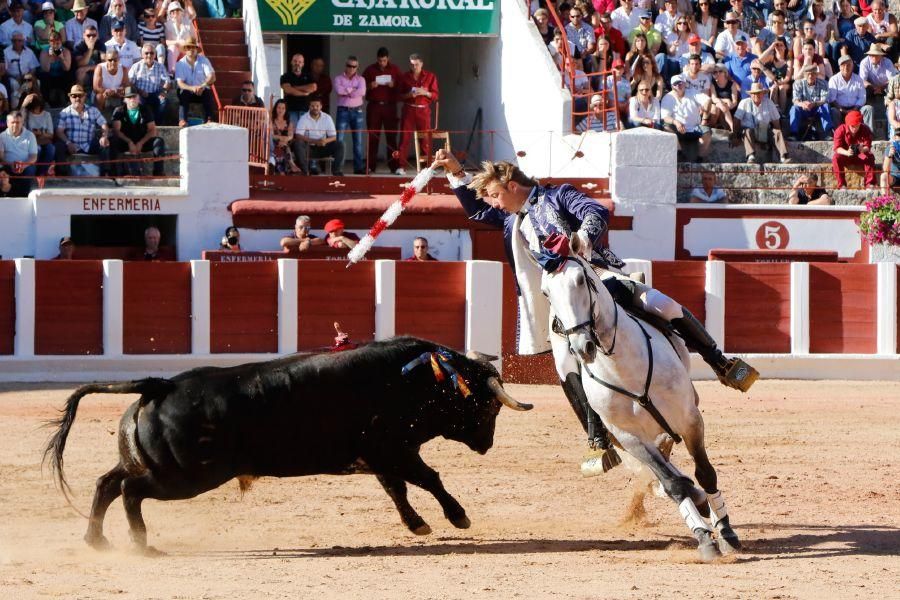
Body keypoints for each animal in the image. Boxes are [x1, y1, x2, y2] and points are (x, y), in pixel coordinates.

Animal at [44, 336, 536, 552]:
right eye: (488, 408)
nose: (487, 444)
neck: (417, 378)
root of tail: (158, 385)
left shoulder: (380, 457)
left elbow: (397, 490)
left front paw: (418, 525)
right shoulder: (395, 450)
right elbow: (428, 478)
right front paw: (458, 517)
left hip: (155, 466)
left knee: (108, 484)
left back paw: (97, 540)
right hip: (184, 477)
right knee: (129, 491)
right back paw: (141, 544)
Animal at [540, 254, 740, 564]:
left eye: (581, 280)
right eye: (546, 293)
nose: (582, 346)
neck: (624, 368)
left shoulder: (690, 420)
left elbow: (705, 472)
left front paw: (726, 532)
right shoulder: (630, 438)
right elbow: (672, 484)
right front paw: (704, 538)